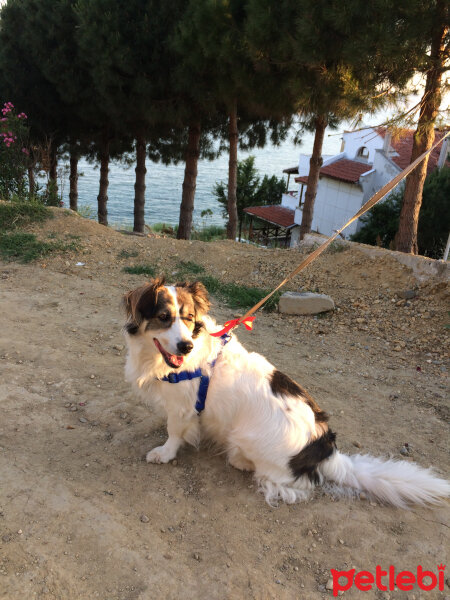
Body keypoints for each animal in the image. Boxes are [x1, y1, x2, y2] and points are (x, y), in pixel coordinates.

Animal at [121, 278, 448, 506]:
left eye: (188, 318)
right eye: (164, 317)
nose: (186, 346)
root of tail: (325, 450)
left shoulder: (182, 407)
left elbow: (175, 432)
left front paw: (164, 453)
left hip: (246, 437)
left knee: (292, 485)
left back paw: (241, 461)